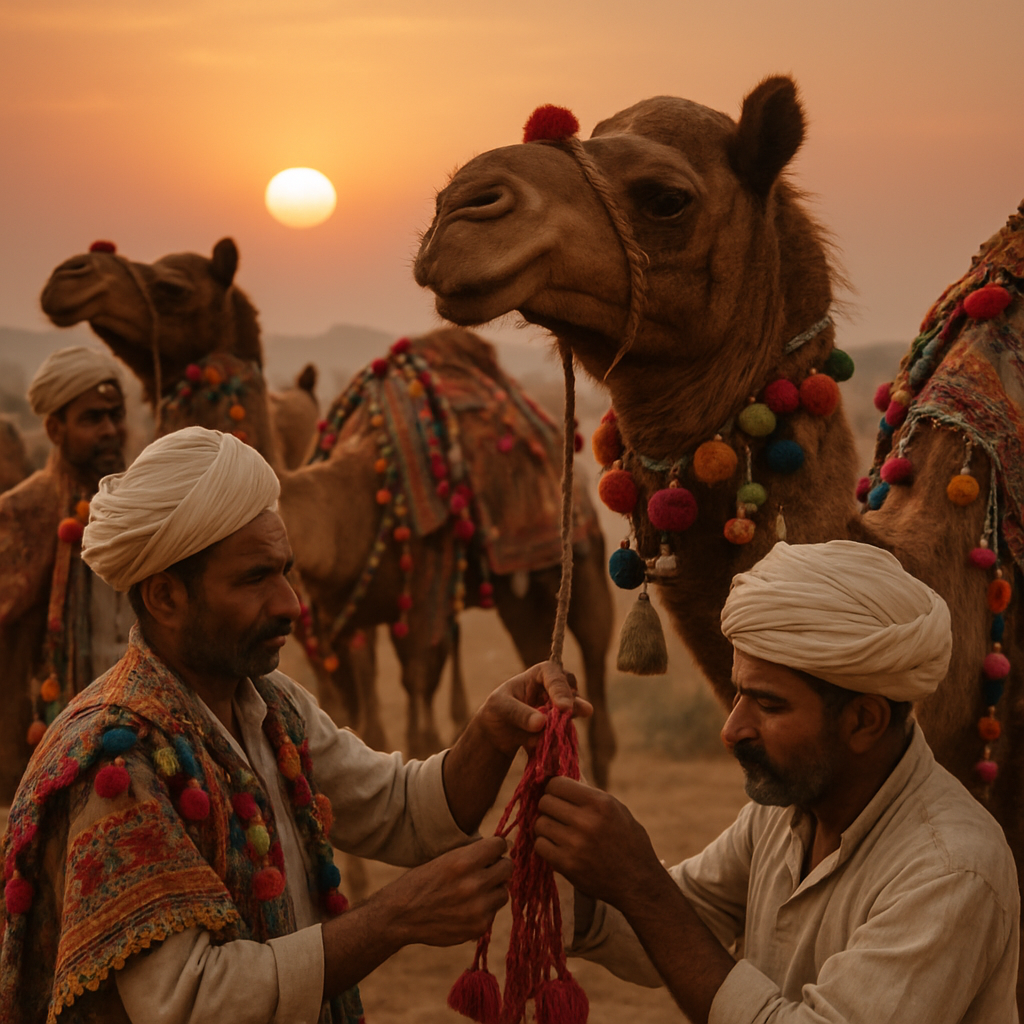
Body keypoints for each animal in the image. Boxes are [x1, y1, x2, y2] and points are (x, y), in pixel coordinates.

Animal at [40, 242, 618, 788]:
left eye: (172, 286)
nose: (68, 277)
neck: (346, 505)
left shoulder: (423, 597)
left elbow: (419, 727)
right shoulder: (332, 619)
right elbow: (351, 722)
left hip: (581, 550)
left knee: (595, 669)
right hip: (519, 592)